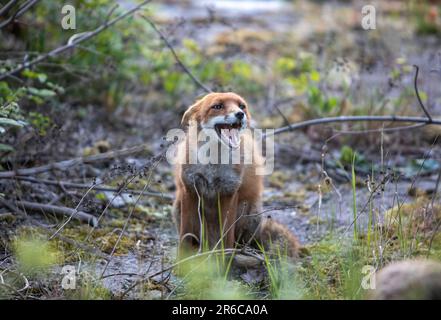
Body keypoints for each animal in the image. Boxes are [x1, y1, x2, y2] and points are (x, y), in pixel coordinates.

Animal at [172, 91, 300, 258]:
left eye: (242, 106)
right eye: (217, 106)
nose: (240, 114)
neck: (213, 164)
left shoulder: (230, 191)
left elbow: (227, 237)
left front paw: (225, 260)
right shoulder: (190, 189)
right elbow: (186, 235)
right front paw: (183, 260)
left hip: (250, 214)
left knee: (240, 242)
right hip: (178, 207)